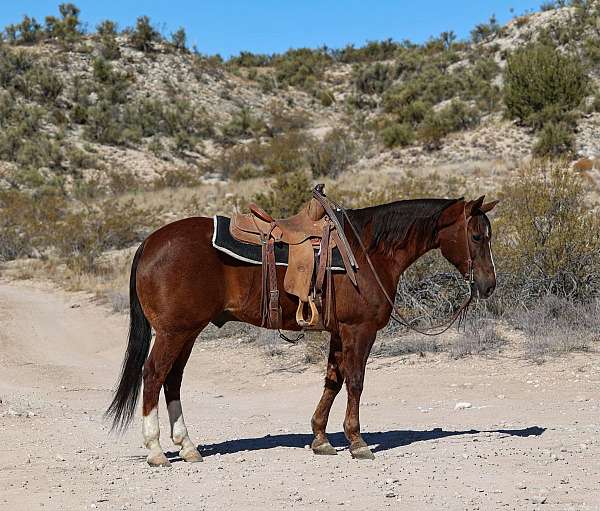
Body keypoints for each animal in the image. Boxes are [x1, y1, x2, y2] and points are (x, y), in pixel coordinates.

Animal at [106, 194, 496, 466]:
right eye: (477, 236)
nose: (489, 285)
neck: (367, 251)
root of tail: (150, 243)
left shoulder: (339, 332)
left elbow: (333, 380)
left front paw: (321, 439)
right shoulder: (359, 331)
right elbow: (355, 382)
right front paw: (357, 442)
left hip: (187, 332)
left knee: (172, 380)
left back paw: (188, 448)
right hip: (174, 332)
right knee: (154, 375)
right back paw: (156, 450)